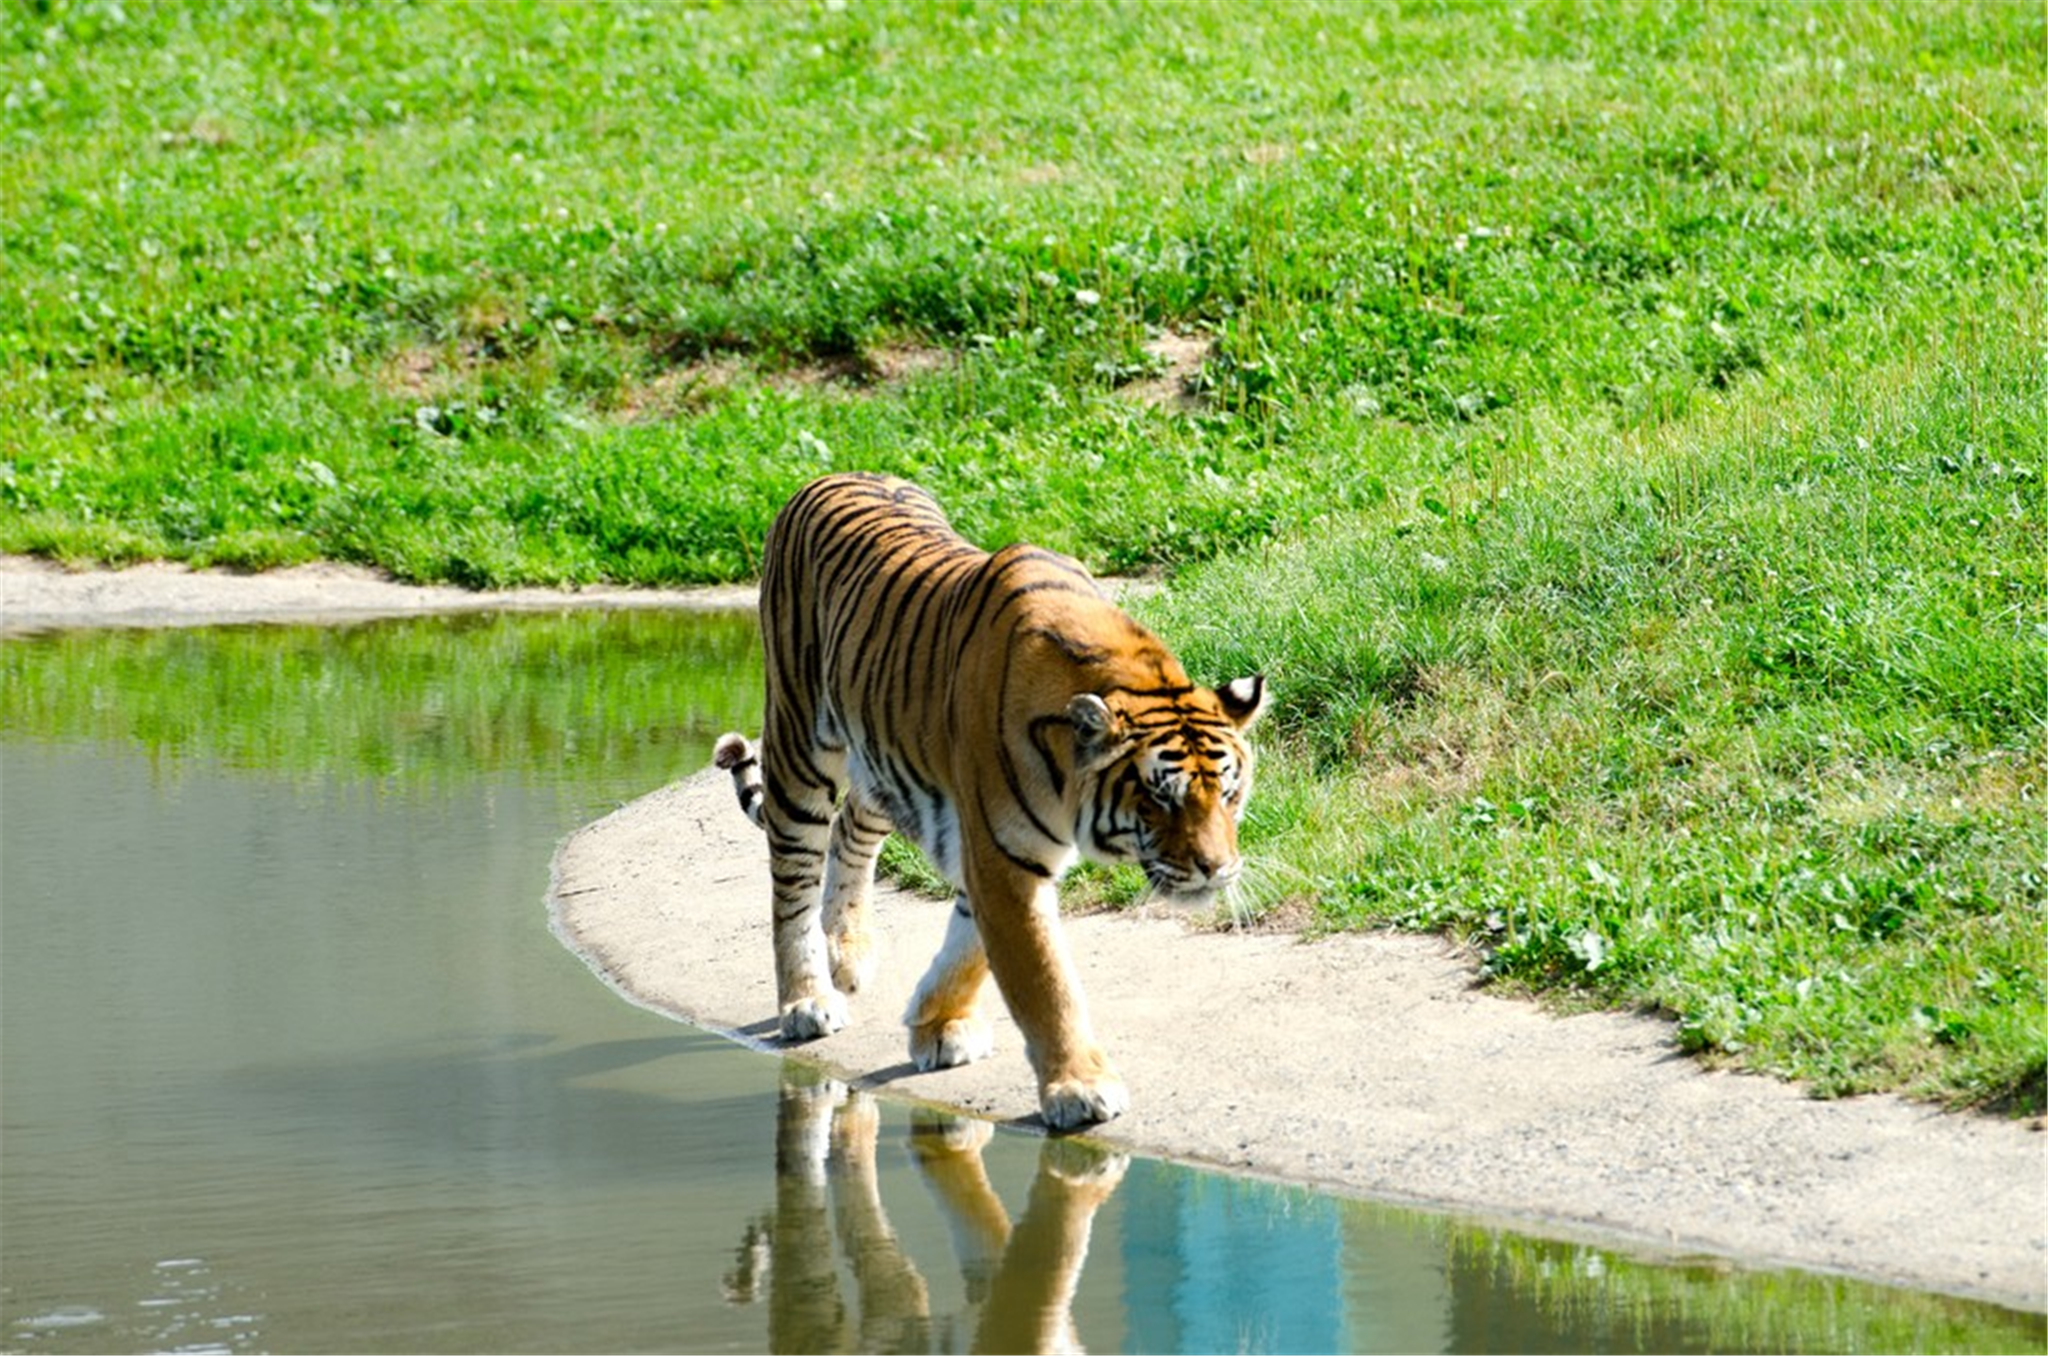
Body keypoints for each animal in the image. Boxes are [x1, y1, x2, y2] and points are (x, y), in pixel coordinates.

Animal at [720, 473, 1261, 1130]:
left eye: (1229, 793)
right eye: (1160, 798)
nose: (1217, 869)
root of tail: (829, 477)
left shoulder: (996, 849)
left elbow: (972, 946)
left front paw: (938, 1024)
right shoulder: (1002, 856)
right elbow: (1042, 977)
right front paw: (1080, 1088)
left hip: (883, 763)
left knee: (851, 828)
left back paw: (846, 951)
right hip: (801, 745)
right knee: (792, 886)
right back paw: (806, 1000)